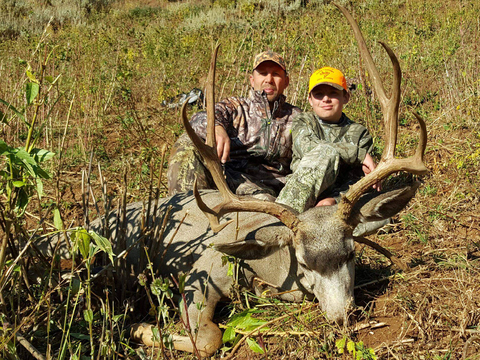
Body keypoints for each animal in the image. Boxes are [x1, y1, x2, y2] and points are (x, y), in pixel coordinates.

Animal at [114, 2, 426, 358]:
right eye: (303, 261)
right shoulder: (197, 277)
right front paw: (139, 328)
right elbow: (209, 339)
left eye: (349, 254)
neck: (264, 266)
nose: (341, 316)